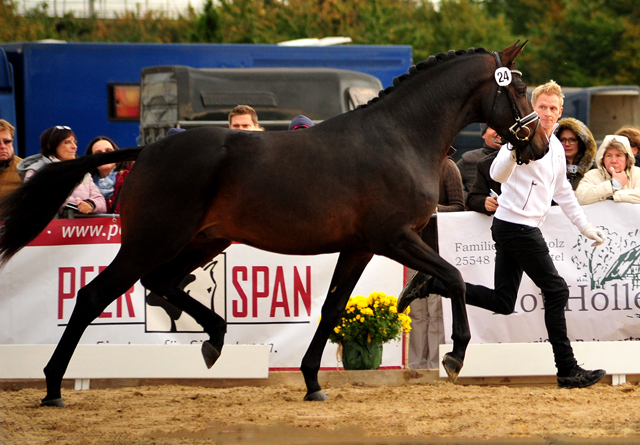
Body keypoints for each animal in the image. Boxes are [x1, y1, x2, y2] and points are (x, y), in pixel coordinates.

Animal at [2, 41, 548, 406]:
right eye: (520, 87)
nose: (540, 146)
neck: (399, 137)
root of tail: (148, 151)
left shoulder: (359, 247)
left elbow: (332, 309)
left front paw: (312, 382)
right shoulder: (394, 237)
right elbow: (452, 276)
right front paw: (455, 356)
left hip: (203, 241)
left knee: (162, 286)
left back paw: (215, 339)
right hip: (151, 241)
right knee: (96, 295)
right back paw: (53, 386)